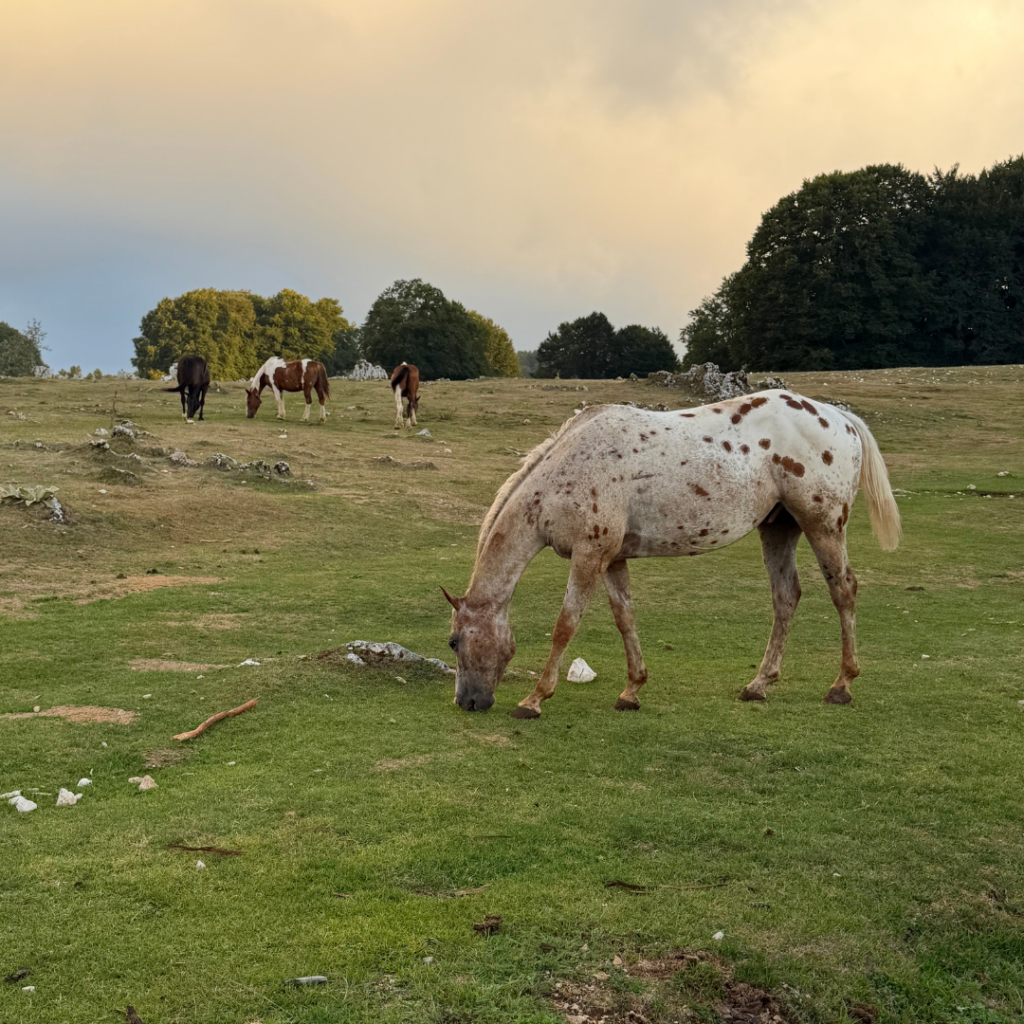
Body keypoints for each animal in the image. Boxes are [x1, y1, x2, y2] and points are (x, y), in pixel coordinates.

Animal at [442, 390, 901, 717]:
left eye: (453, 642)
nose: (467, 702)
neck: (566, 470)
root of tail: (838, 416)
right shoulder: (612, 559)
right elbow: (625, 619)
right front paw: (631, 690)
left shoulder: (589, 556)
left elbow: (565, 626)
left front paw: (534, 699)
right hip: (778, 528)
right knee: (786, 597)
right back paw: (758, 685)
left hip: (823, 526)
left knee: (844, 591)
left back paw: (841, 686)